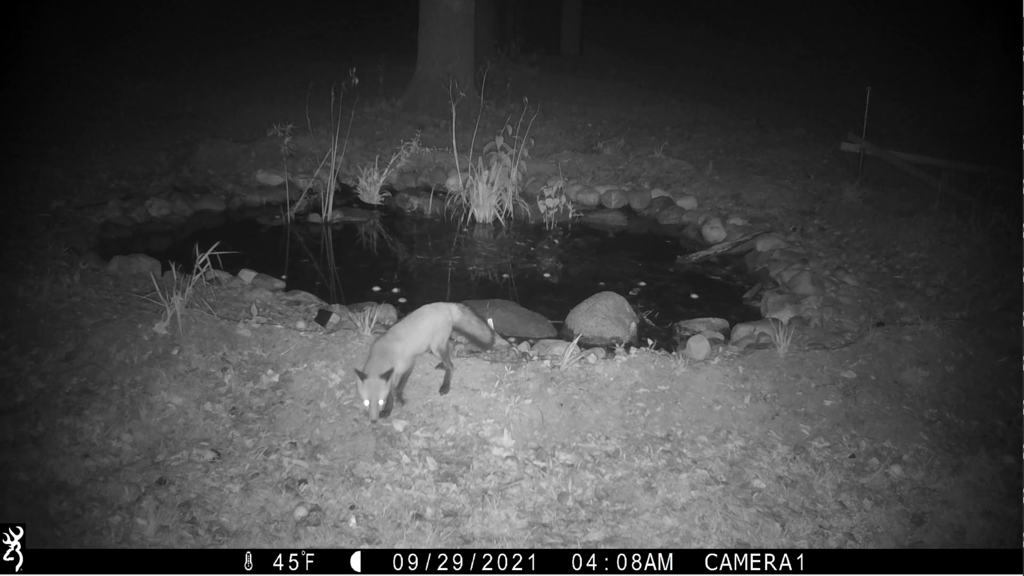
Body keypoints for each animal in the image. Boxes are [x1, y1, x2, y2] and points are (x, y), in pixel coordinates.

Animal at [354, 302, 496, 421]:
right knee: (450, 348)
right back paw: (443, 365)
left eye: (380, 402)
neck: (383, 354)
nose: (373, 420)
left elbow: (400, 385)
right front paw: (394, 401)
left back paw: (445, 385)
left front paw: (393, 404)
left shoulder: (409, 363)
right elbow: (393, 390)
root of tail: (446, 305)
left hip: (435, 347)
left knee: (451, 365)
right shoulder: (395, 374)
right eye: (366, 402)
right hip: (438, 345)